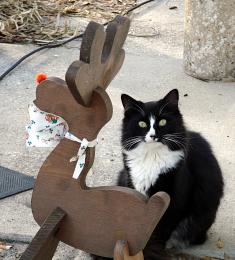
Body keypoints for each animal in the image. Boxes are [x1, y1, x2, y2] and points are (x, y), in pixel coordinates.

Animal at [92, 89, 223, 258]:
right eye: (142, 123)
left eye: (162, 122)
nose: (153, 136)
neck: (151, 157)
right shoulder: (133, 188)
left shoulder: (173, 201)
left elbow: (160, 232)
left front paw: (151, 250)